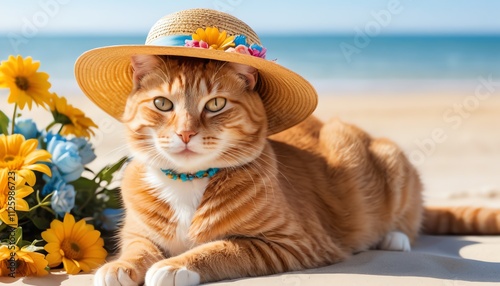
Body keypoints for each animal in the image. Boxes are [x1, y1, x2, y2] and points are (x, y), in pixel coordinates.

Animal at [94, 55, 500, 286]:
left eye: (216, 104)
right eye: (163, 104)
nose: (185, 133)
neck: (188, 182)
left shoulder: (291, 243)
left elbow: (224, 248)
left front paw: (177, 265)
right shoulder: (136, 233)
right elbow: (137, 250)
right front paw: (120, 267)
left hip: (390, 160)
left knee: (409, 221)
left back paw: (393, 238)